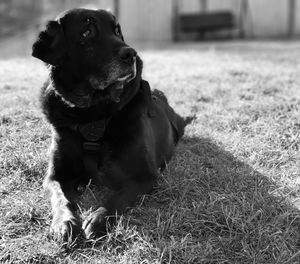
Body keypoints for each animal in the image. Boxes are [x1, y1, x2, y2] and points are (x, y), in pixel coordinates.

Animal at [32, 8, 188, 241]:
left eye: (117, 31)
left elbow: (117, 198)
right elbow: (60, 198)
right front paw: (63, 222)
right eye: (87, 32)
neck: (91, 115)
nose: (131, 54)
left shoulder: (145, 176)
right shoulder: (55, 176)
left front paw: (98, 219)